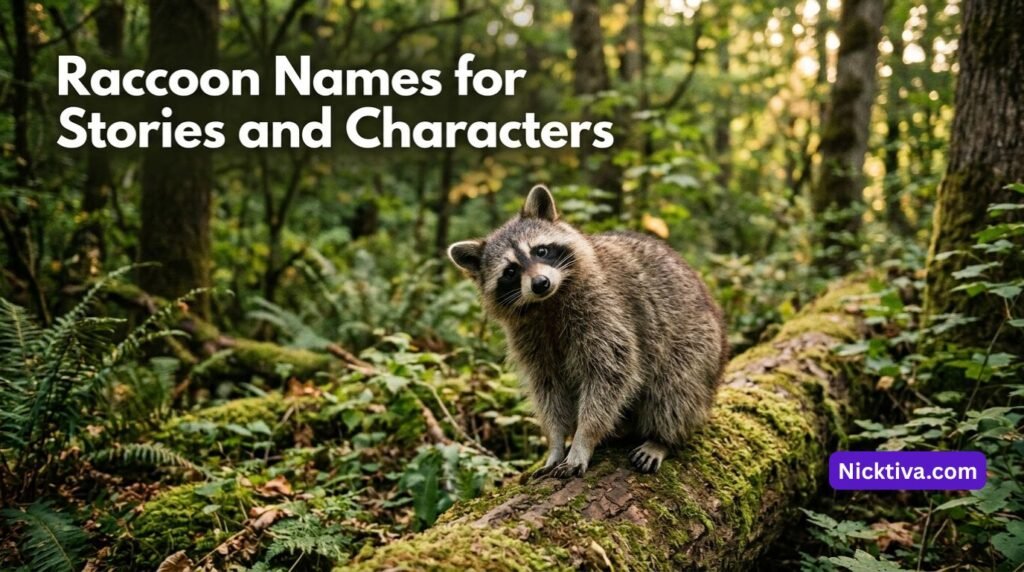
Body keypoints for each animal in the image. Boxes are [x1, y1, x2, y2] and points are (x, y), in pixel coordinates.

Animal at [448, 186, 728, 477]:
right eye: (511, 271)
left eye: (541, 250)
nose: (540, 283)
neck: (547, 302)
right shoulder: (528, 337)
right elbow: (548, 388)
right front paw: (556, 442)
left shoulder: (604, 310)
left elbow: (610, 374)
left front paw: (583, 439)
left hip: (698, 345)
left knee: (675, 389)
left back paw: (661, 438)